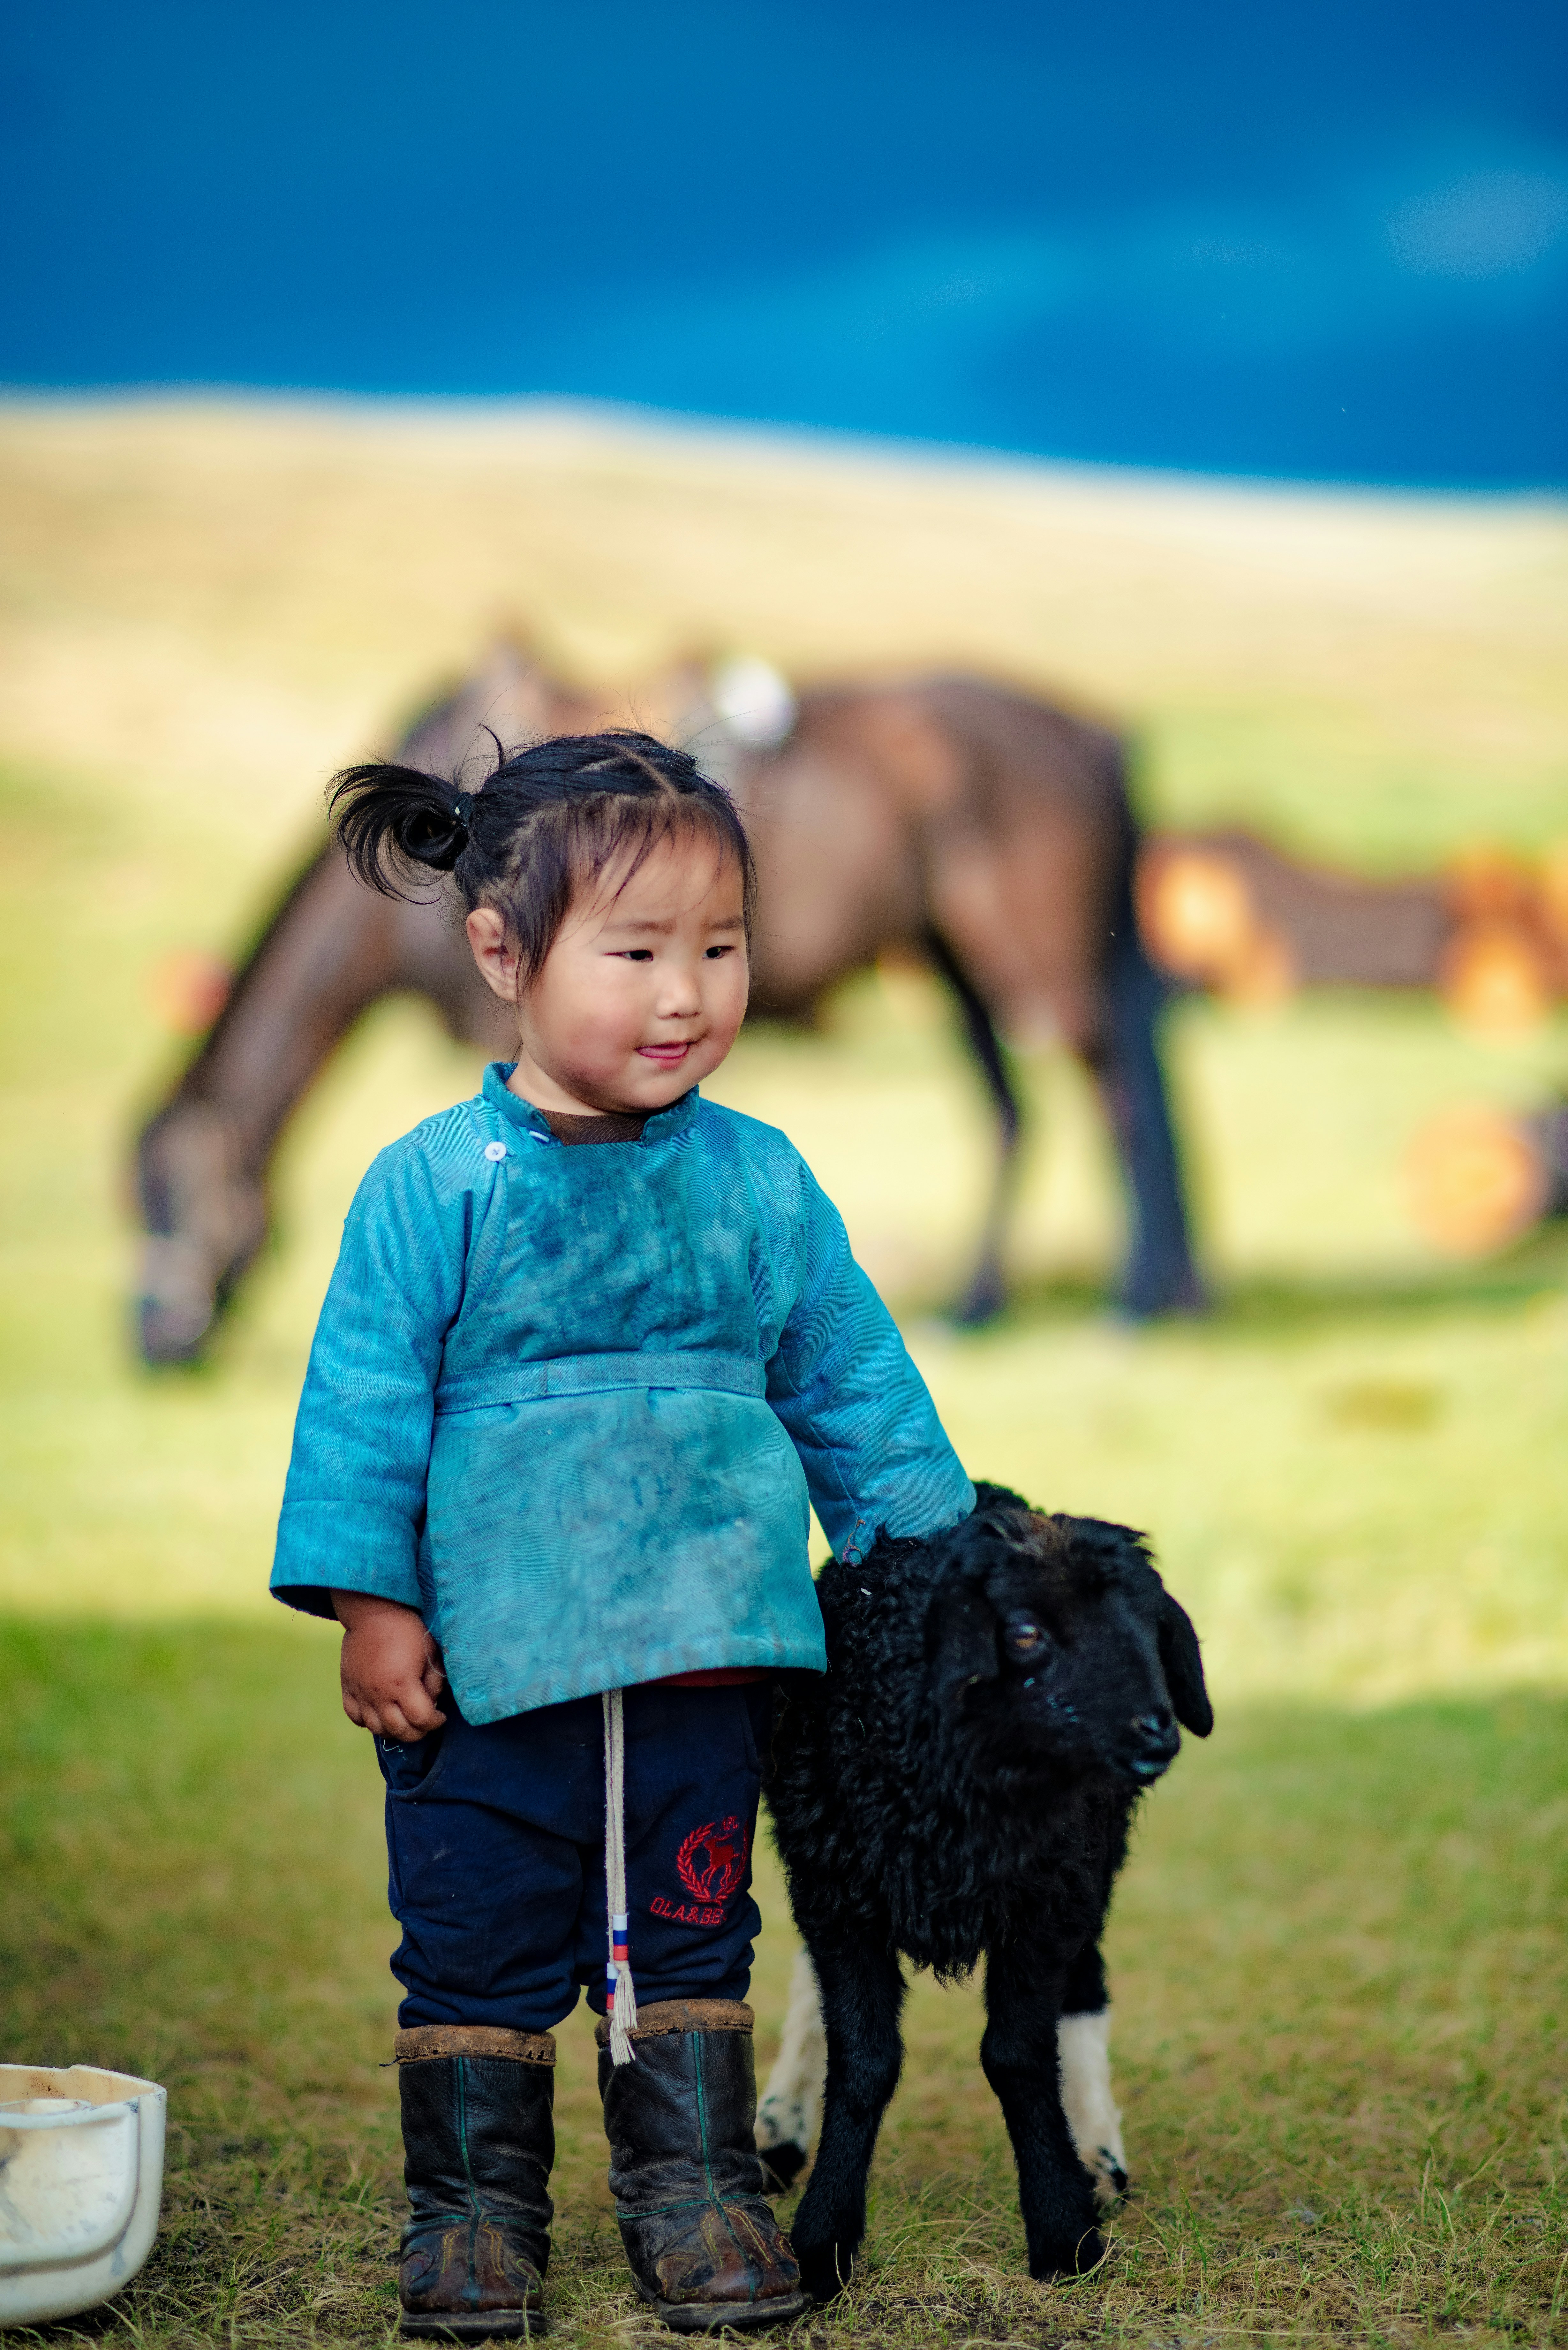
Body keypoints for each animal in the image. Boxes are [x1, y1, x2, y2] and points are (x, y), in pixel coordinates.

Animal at [759, 1484, 1212, 2294]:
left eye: (1148, 1628)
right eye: (1024, 1634)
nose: (1155, 1732)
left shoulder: (1046, 1901)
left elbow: (1016, 2054)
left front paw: (1063, 2229)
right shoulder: (839, 1896)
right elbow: (864, 2059)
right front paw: (820, 2240)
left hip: (1089, 1865)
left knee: (1084, 1987)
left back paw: (1096, 2152)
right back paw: (780, 2128)